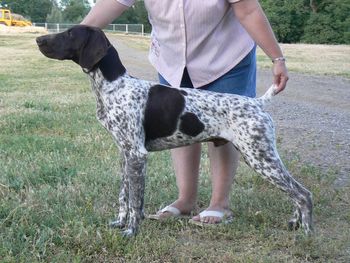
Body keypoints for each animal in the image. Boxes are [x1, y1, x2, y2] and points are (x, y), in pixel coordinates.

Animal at [37, 25, 314, 238]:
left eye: (70, 33)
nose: (39, 39)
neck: (115, 86)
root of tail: (257, 102)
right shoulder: (125, 154)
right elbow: (124, 197)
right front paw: (120, 223)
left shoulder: (137, 155)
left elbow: (136, 201)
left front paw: (131, 232)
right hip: (261, 157)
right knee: (296, 193)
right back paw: (295, 223)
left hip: (260, 157)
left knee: (303, 194)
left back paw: (306, 233)